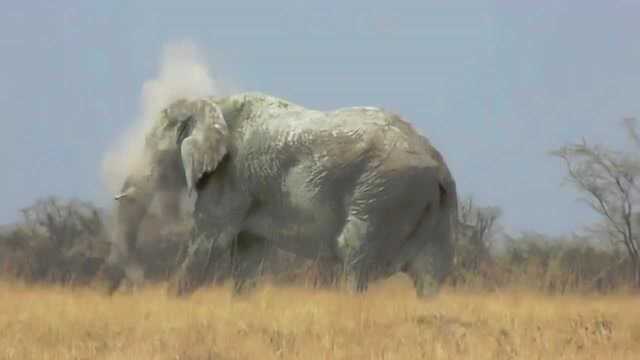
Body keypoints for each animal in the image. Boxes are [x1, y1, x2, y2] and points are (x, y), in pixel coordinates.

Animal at [102, 91, 458, 296]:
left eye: (155, 153)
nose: (136, 283)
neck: (212, 105)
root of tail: (437, 162)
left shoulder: (230, 176)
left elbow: (210, 243)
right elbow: (247, 253)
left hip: (384, 191)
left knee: (354, 250)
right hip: (429, 204)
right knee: (430, 270)